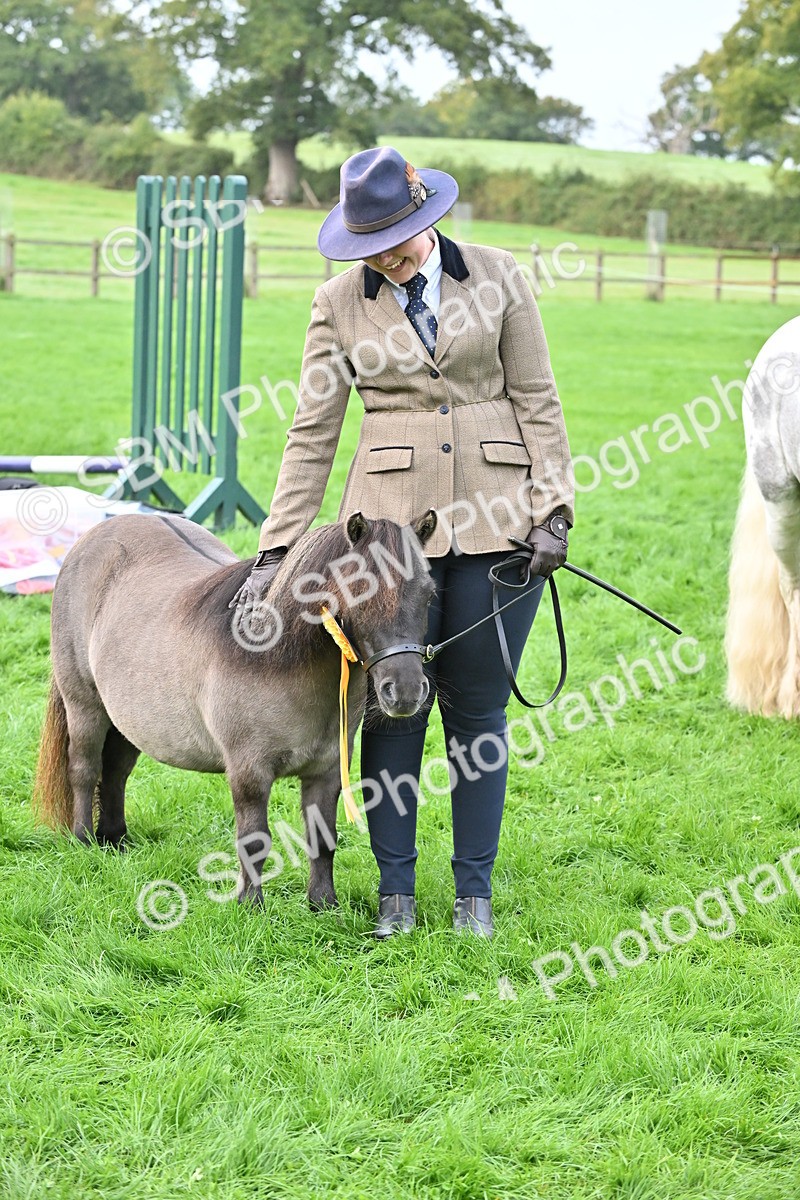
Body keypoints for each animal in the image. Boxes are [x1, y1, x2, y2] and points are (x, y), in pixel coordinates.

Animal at [34, 508, 437, 907]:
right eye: (359, 589)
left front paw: (324, 904)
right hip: (85, 706)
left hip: (126, 721)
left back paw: (115, 839)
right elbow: (254, 840)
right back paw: (84, 841)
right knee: (84, 769)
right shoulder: (248, 770)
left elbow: (322, 838)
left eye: (429, 594)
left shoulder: (326, 771)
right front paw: (250, 905)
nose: (404, 692)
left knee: (115, 772)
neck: (276, 657)